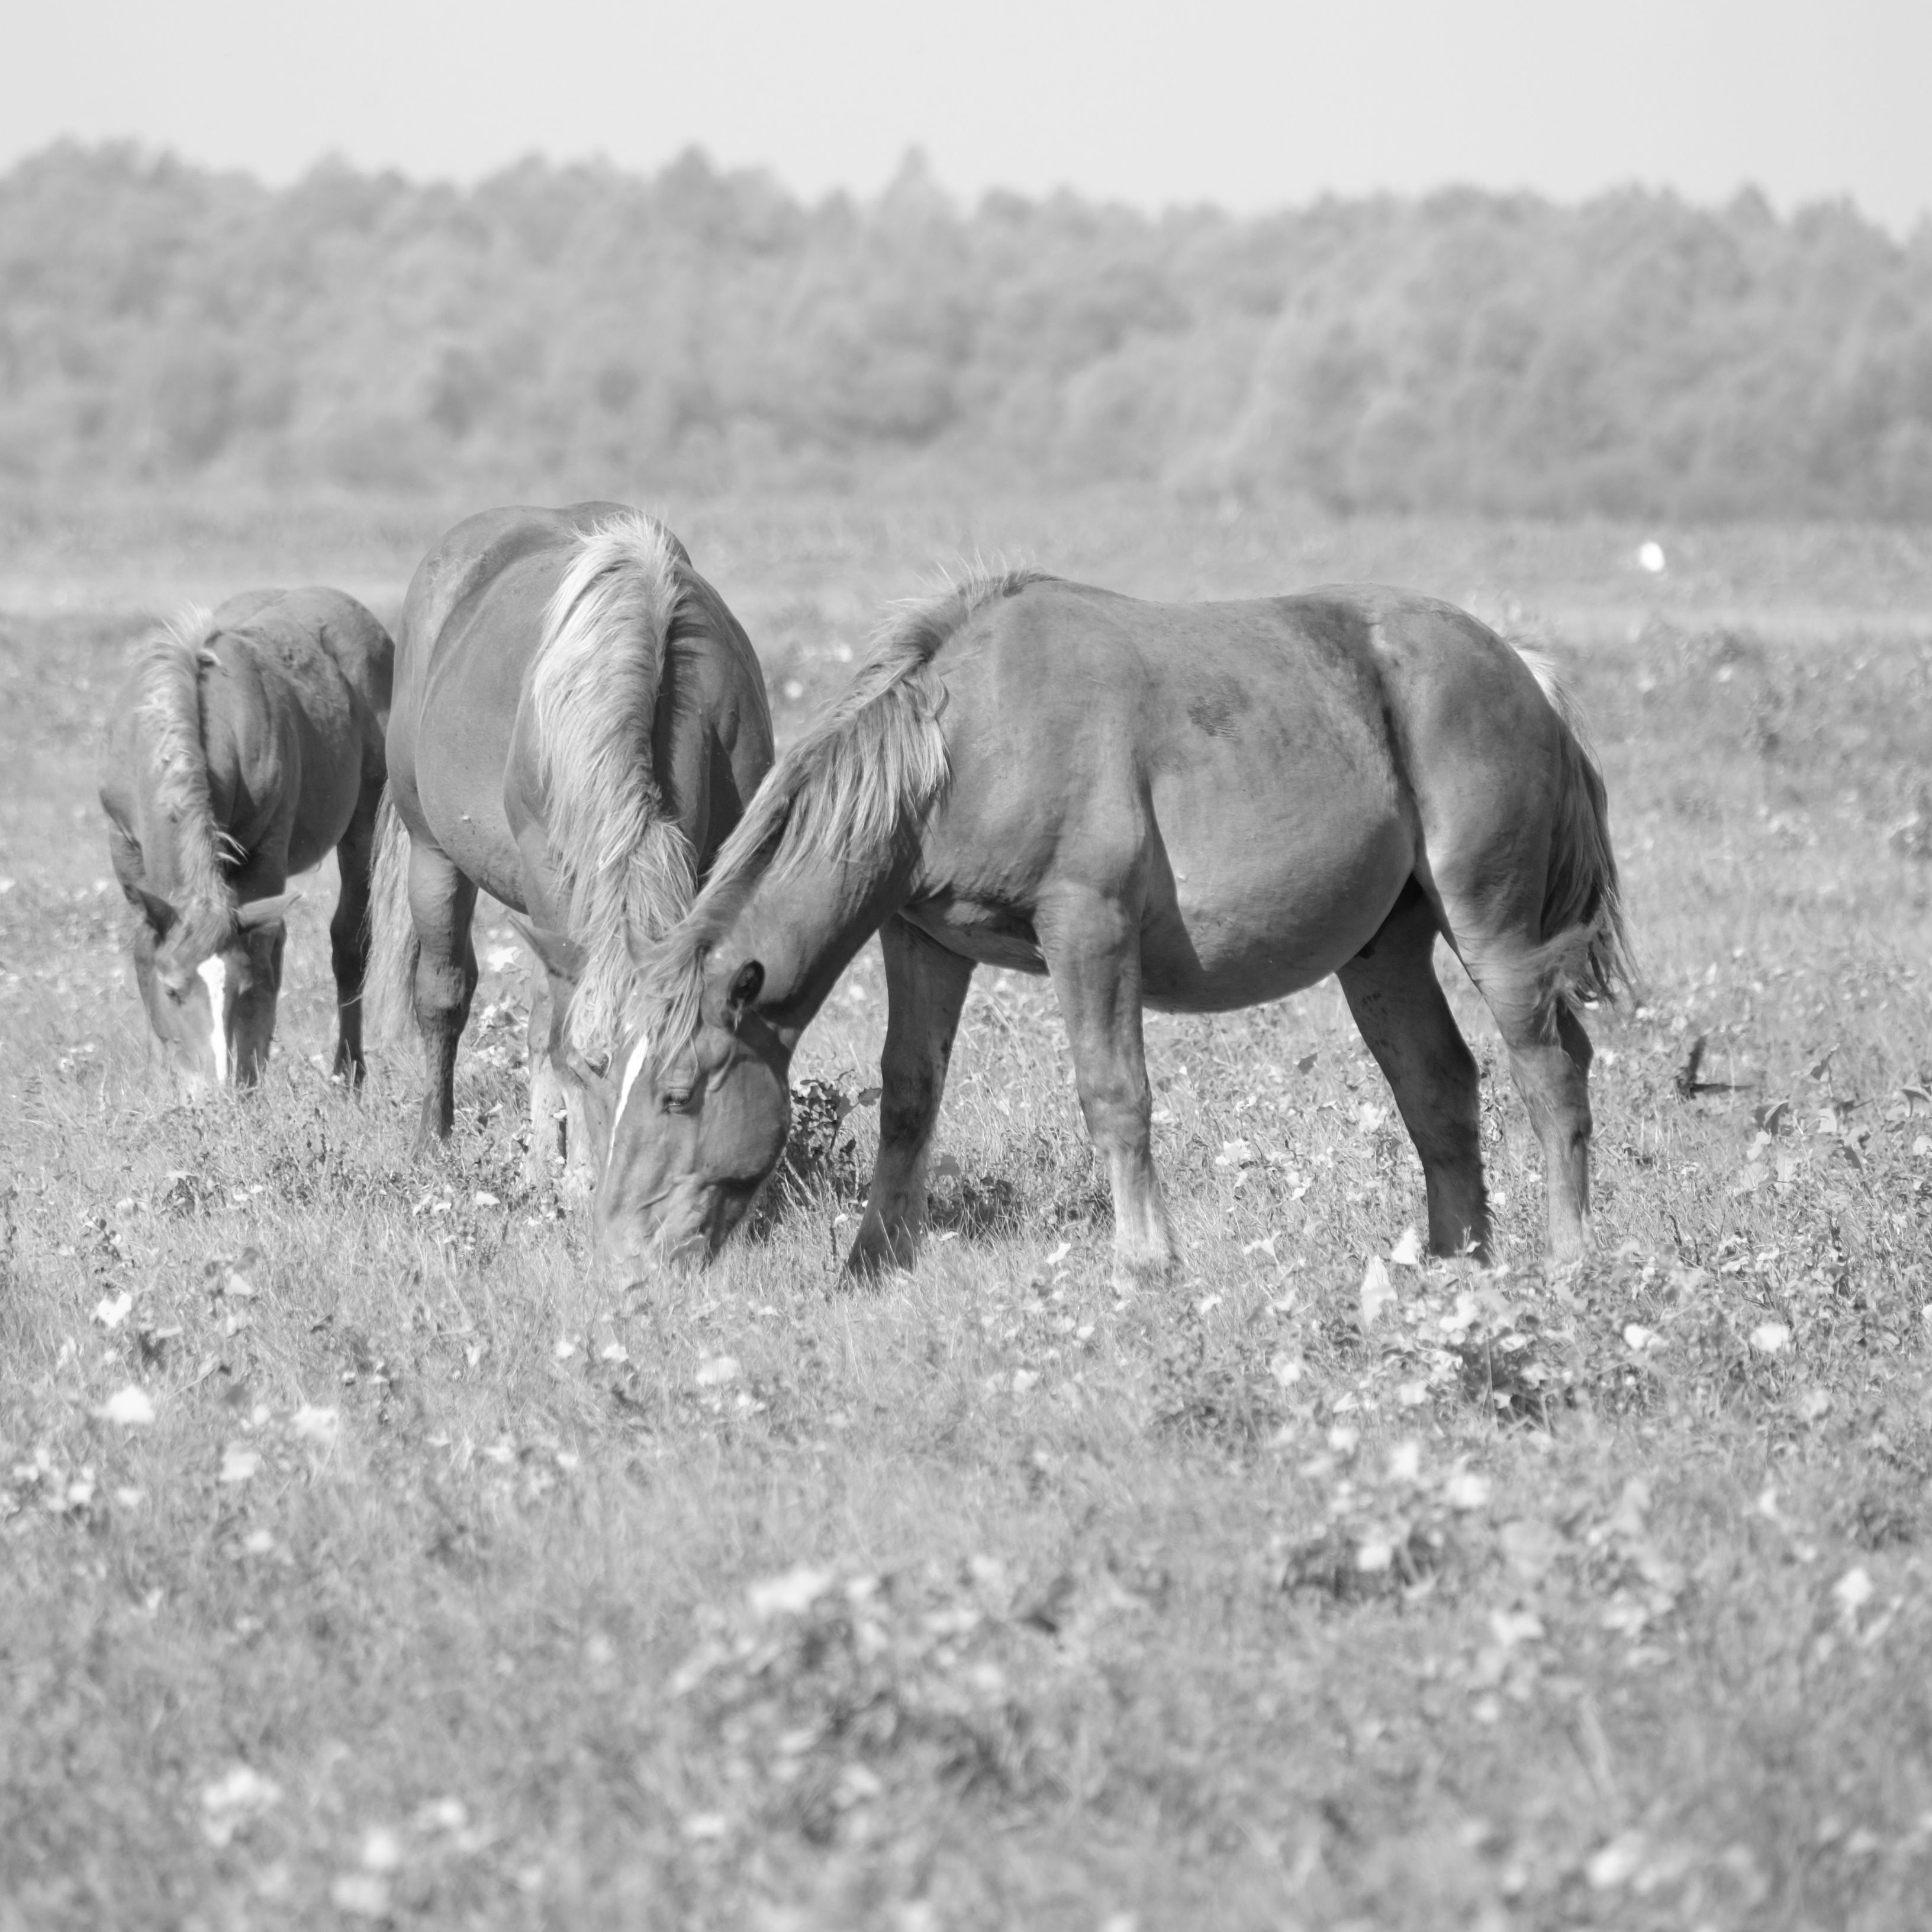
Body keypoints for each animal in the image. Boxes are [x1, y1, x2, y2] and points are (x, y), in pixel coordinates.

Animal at [99, 588, 393, 1090]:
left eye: (238, 990)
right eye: (172, 991)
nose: (212, 1092)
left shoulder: (266, 854)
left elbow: (263, 959)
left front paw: (250, 1078)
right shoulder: (127, 853)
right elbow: (142, 952)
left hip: (364, 820)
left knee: (348, 942)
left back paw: (348, 1073)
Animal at [365, 503, 774, 1182]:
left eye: (679, 1081)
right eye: (591, 1069)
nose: (620, 1185)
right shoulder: (551, 881)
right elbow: (552, 1035)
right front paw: (576, 1175)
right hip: (436, 857)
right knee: (445, 997)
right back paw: (435, 1142)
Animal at [592, 570, 1634, 1289]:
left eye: (679, 1095)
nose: (620, 1257)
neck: (965, 745)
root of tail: (1523, 670)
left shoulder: (1087, 930)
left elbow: (1114, 1096)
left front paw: (1146, 1266)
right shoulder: (924, 944)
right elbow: (909, 1097)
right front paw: (871, 1264)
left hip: (1494, 935)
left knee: (1552, 1075)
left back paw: (1571, 1266)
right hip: (1384, 957)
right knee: (1439, 1088)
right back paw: (1458, 1269)